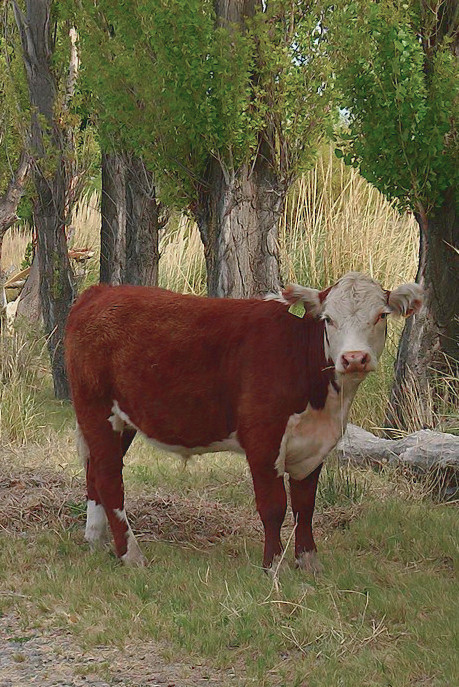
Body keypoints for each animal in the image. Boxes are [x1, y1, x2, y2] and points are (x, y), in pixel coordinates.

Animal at [64, 272, 422, 572]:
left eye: (381, 315)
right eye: (328, 319)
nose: (354, 358)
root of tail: (101, 292)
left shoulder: (314, 446)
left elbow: (305, 506)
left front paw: (309, 564)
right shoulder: (263, 439)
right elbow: (274, 506)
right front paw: (274, 566)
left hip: (122, 419)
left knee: (94, 472)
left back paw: (96, 540)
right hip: (95, 408)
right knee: (109, 479)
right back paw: (131, 554)